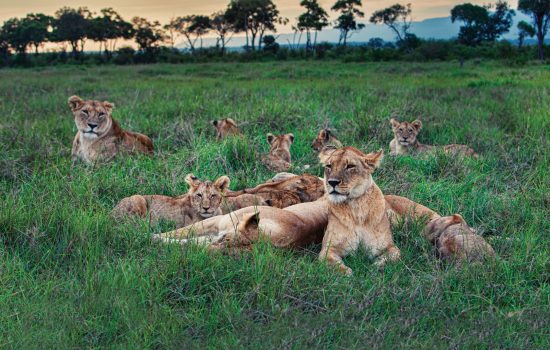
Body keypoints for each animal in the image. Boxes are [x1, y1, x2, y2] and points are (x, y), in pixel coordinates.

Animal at [320, 145, 402, 274]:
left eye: (350, 166)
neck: (357, 207)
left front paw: (374, 268)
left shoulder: (389, 247)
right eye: (329, 166)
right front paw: (347, 272)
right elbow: (336, 265)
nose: (332, 182)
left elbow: (393, 256)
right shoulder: (328, 249)